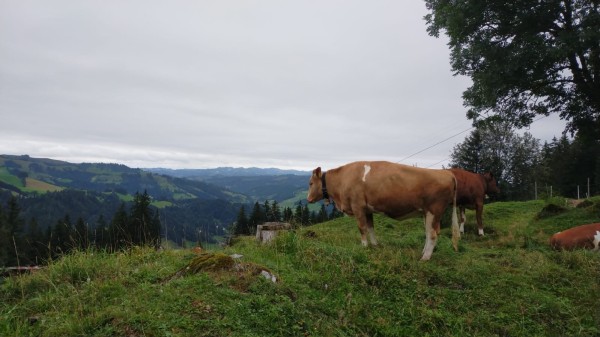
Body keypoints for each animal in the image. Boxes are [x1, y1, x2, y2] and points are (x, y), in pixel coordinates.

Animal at [308, 161, 462, 262]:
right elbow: (370, 228)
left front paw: (364, 246)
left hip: (434, 210)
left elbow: (362, 228)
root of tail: (447, 173)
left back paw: (425, 258)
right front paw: (375, 245)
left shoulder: (358, 206)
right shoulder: (367, 209)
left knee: (433, 234)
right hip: (427, 213)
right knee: (428, 233)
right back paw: (423, 252)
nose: (308, 199)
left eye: (310, 183)